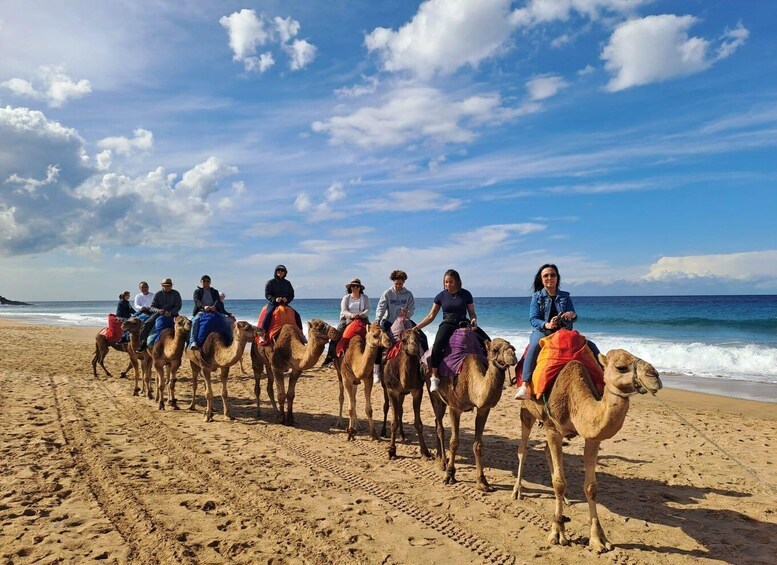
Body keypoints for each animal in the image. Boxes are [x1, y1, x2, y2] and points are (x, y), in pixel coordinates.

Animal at [380, 326, 430, 458]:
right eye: (403, 340)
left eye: (419, 338)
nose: (414, 347)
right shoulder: (392, 390)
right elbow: (393, 422)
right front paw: (392, 450)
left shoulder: (417, 390)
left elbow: (418, 423)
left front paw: (425, 451)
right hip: (384, 386)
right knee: (386, 406)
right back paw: (383, 432)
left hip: (402, 394)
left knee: (400, 410)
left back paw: (402, 434)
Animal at [430, 338, 516, 492]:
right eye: (494, 349)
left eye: (513, 347)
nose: (512, 355)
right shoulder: (454, 408)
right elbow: (454, 442)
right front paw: (449, 475)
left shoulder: (484, 409)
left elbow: (478, 445)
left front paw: (482, 482)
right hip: (435, 395)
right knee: (440, 427)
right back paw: (443, 463)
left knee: (436, 422)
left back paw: (440, 458)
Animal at [510, 348, 660, 552]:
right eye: (621, 367)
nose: (655, 376)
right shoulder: (552, 428)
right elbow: (559, 482)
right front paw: (558, 533)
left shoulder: (592, 437)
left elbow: (591, 487)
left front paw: (598, 538)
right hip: (527, 411)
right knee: (523, 449)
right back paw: (517, 491)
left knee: (547, 453)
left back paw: (565, 499)